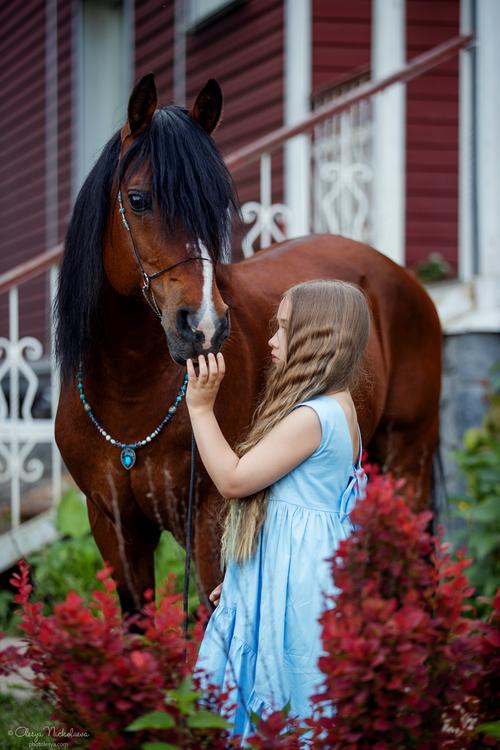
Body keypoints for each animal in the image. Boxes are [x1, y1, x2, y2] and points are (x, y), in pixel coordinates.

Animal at [55, 74, 442, 619]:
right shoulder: (114, 531)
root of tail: (403, 278)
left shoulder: (210, 519)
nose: (204, 326)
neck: (129, 394)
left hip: (410, 460)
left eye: (216, 204)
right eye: (138, 199)